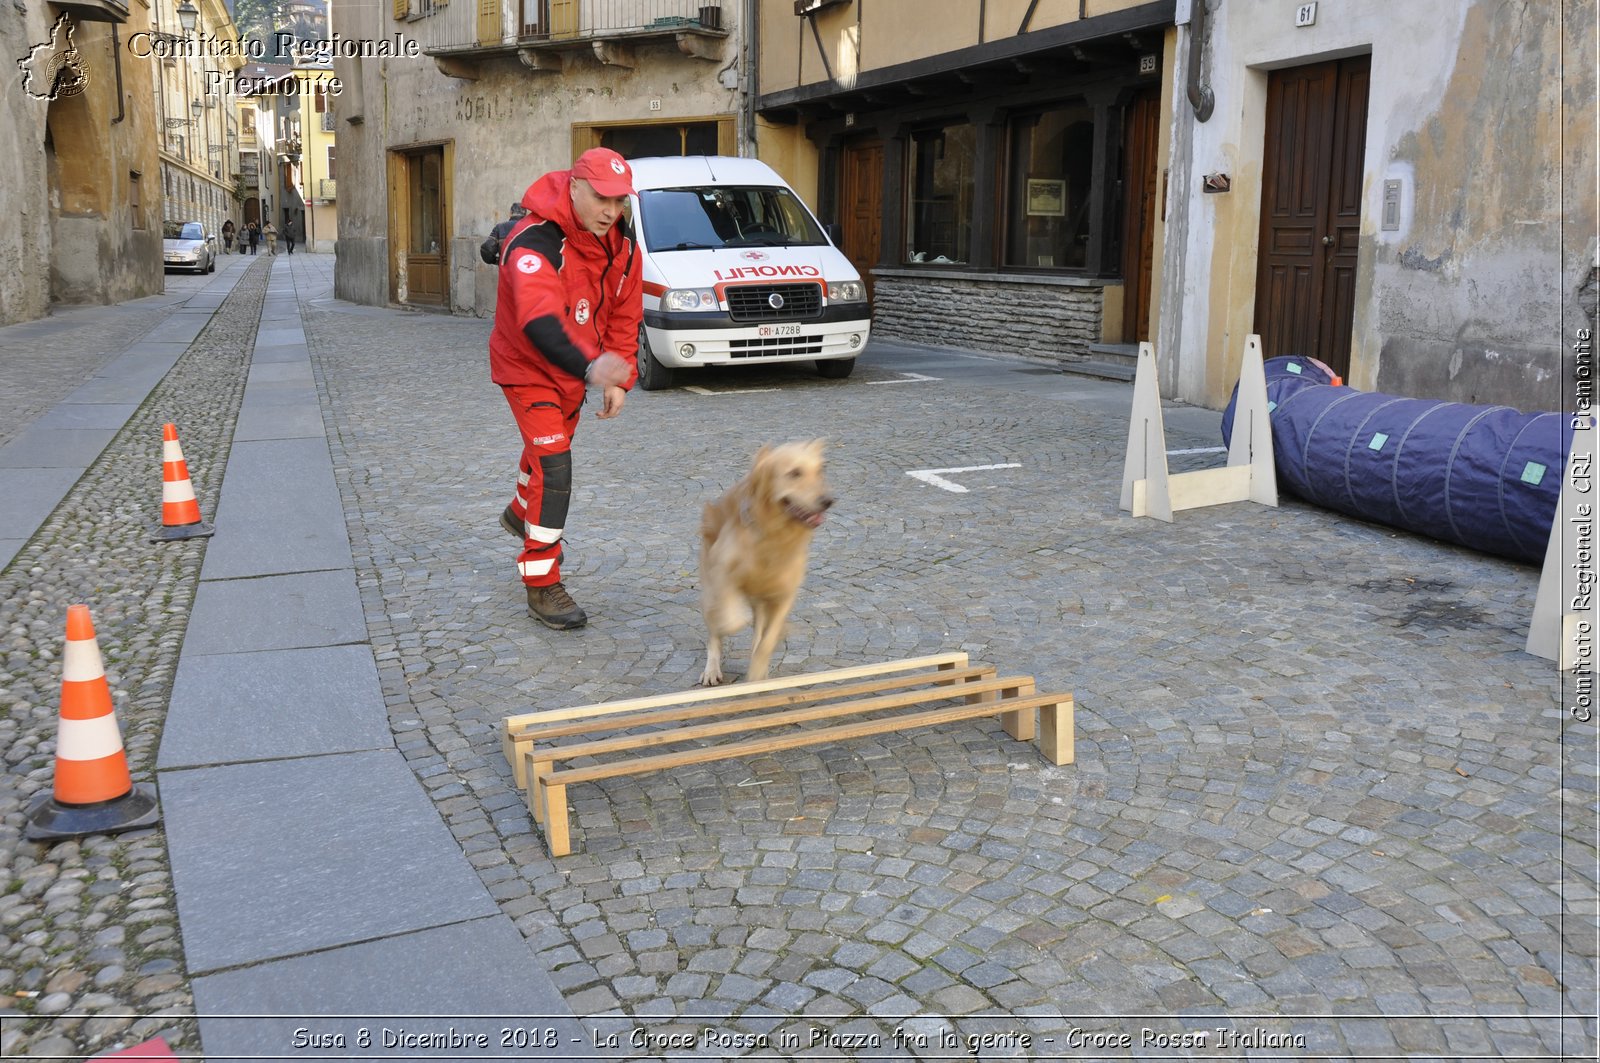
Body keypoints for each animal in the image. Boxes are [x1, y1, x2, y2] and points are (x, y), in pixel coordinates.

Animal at [700, 441, 838, 685]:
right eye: (794, 473)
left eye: (821, 470)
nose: (827, 501)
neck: (773, 535)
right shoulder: (722, 573)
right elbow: (729, 614)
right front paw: (734, 619)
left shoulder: (783, 595)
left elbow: (767, 640)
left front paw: (757, 671)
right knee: (714, 630)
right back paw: (711, 669)